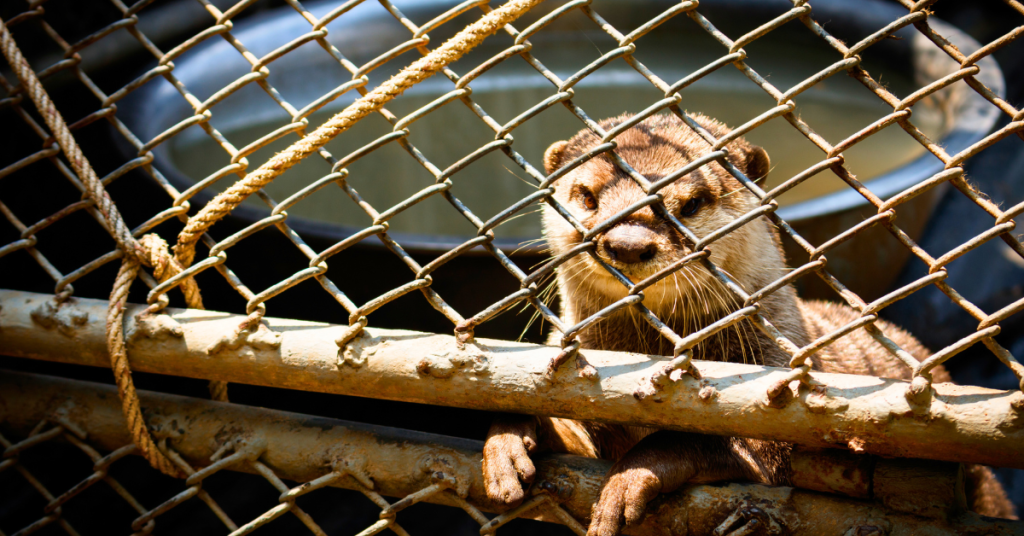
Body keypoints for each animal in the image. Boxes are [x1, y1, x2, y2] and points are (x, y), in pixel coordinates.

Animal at [482, 113, 1016, 535]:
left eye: (691, 203)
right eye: (587, 195)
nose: (627, 243)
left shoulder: (780, 396)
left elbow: (716, 443)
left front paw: (632, 477)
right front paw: (507, 440)